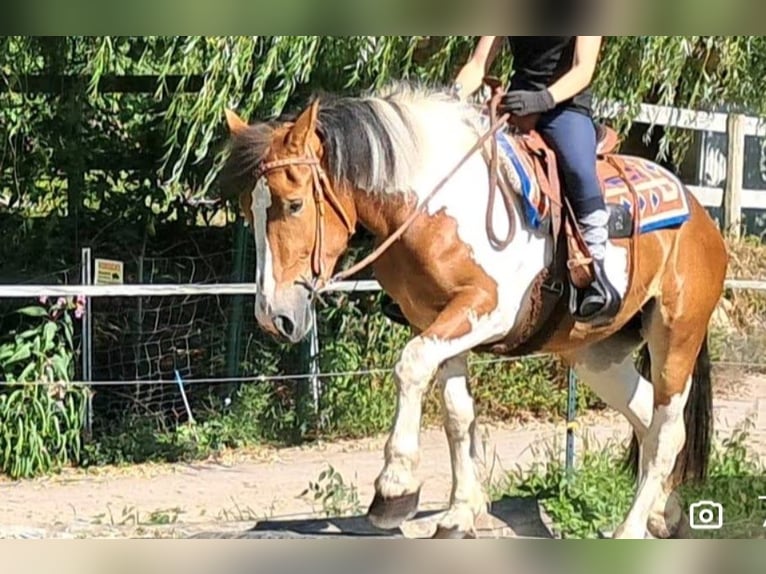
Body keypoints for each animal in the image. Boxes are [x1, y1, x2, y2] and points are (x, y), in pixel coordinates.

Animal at [220, 81, 728, 539]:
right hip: (595, 354)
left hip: (676, 337)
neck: (435, 201)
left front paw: (395, 488)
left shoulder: (485, 309)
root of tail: (702, 217)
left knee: (667, 432)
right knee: (646, 417)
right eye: (247, 208)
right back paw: (666, 513)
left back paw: (631, 528)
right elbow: (457, 413)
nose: (273, 316)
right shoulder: (438, 321)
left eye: (294, 204)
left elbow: (411, 364)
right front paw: (459, 512)